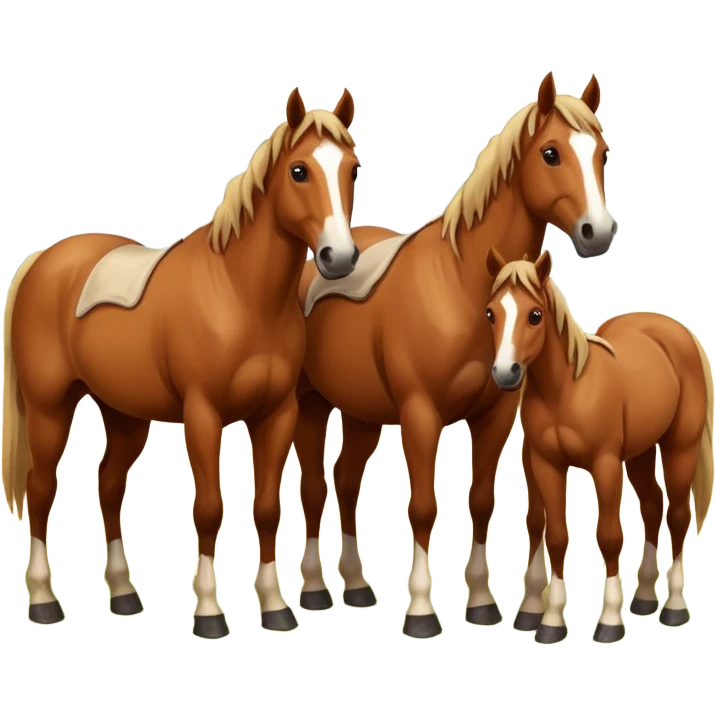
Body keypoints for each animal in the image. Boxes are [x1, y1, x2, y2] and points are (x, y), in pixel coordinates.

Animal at [0, 86, 362, 640]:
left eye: (352, 170)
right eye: (299, 170)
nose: (339, 258)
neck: (239, 293)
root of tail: (44, 260)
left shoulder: (276, 414)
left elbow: (265, 509)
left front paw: (275, 606)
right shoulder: (203, 415)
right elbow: (210, 509)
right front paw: (210, 613)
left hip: (124, 414)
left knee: (109, 486)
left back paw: (124, 595)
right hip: (49, 407)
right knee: (41, 490)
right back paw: (43, 601)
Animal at [293, 71, 618, 639]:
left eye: (601, 153)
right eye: (551, 153)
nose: (597, 233)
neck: (461, 286)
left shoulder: (495, 414)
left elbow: (481, 501)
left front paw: (484, 602)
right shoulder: (421, 414)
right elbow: (424, 508)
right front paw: (423, 612)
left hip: (361, 415)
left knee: (347, 482)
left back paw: (355, 585)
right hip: (313, 405)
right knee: (315, 487)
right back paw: (314, 589)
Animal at [484, 247, 715, 645]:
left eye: (534, 315)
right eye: (491, 313)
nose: (505, 373)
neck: (566, 389)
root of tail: (674, 331)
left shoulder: (605, 465)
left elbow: (608, 536)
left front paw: (608, 620)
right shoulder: (546, 464)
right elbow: (557, 536)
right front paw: (551, 621)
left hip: (678, 448)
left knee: (677, 515)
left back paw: (672, 605)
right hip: (639, 454)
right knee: (652, 506)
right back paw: (643, 598)